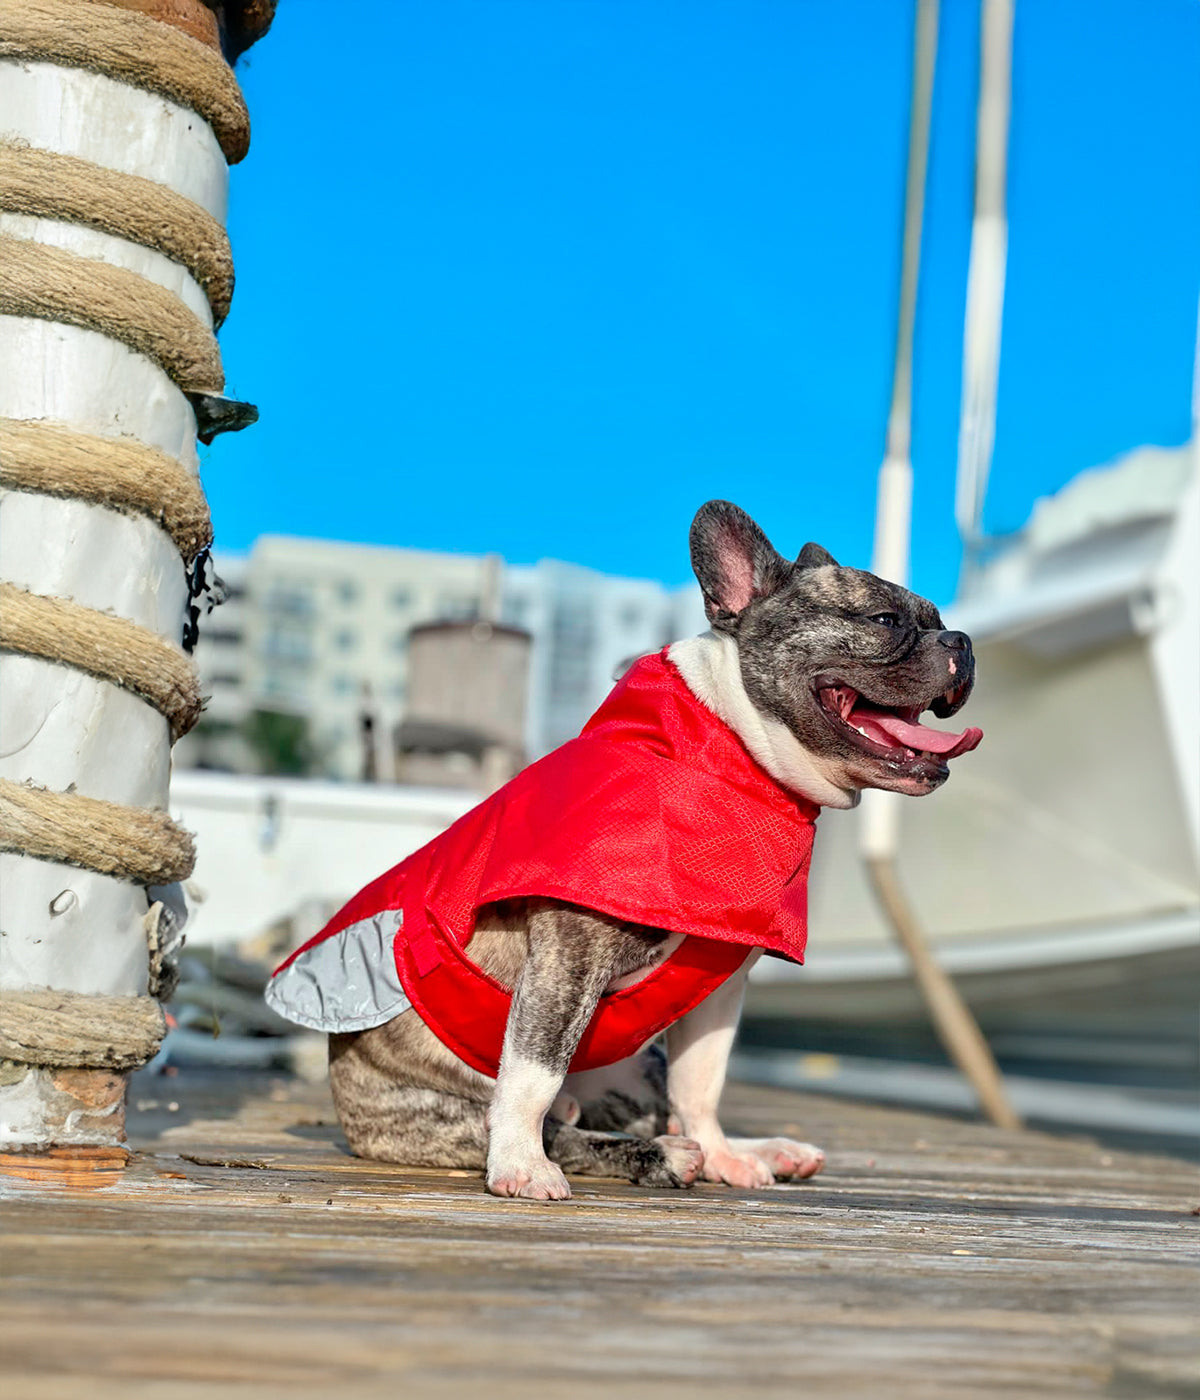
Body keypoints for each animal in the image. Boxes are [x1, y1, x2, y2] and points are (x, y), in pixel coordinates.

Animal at [267, 504, 980, 1204]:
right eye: (885, 621)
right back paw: (650, 1156)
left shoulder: (719, 988)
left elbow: (703, 1082)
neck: (728, 758)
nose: (962, 641)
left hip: (636, 1066)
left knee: (659, 1108)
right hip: (435, 1113)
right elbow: (534, 1072)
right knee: (554, 1127)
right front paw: (521, 1166)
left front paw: (727, 1154)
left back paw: (755, 1150)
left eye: (938, 621)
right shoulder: (568, 953)